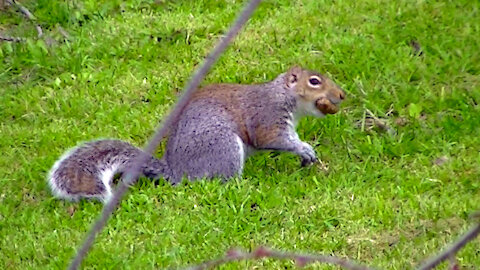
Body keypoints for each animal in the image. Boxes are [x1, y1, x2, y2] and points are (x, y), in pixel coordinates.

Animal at [47, 67, 344, 202]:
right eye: (314, 81)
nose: (341, 95)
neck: (282, 95)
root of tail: (177, 172)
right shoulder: (267, 118)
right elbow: (274, 139)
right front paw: (304, 148)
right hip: (222, 145)